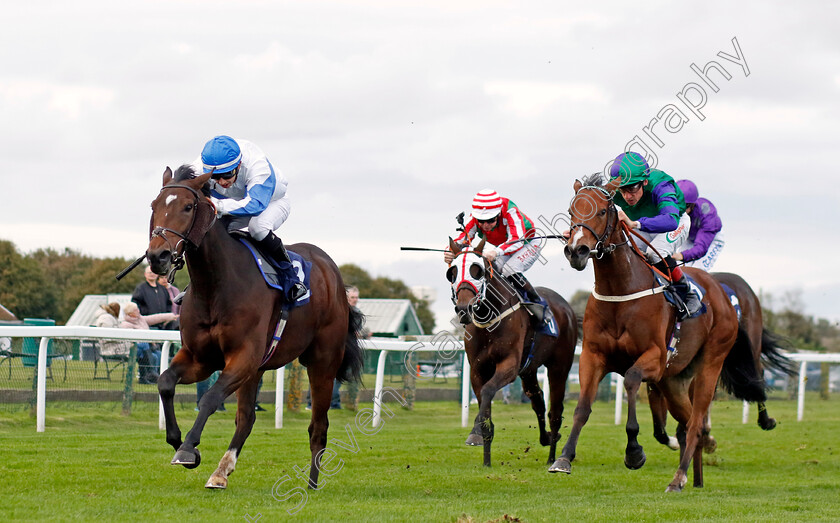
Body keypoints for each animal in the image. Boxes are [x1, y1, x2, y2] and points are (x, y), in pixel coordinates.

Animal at [148, 167, 364, 492]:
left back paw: (312, 484)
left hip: (323, 362)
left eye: (187, 207)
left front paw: (188, 449)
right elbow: (165, 382)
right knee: (247, 418)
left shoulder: (243, 356)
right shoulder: (201, 358)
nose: (157, 256)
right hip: (259, 368)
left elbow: (210, 398)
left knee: (319, 424)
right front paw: (179, 442)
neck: (215, 285)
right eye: (154, 206)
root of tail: (331, 271)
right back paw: (221, 471)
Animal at [446, 237, 576, 466]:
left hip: (559, 367)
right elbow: (483, 401)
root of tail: (567, 308)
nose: (463, 309)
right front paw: (484, 455)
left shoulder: (509, 365)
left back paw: (553, 458)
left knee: (555, 412)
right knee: (537, 399)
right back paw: (546, 438)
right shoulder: (477, 370)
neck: (489, 320)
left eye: (476, 270)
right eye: (452, 272)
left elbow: (488, 391)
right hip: (529, 369)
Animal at [556, 175, 764, 492]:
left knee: (696, 423)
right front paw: (564, 458)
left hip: (710, 364)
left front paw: (634, 452)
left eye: (603, 211)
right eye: (571, 211)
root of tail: (723, 294)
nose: (576, 250)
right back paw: (695, 477)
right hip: (674, 380)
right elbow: (582, 407)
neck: (621, 290)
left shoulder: (654, 357)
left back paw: (678, 479)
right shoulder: (592, 356)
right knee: (690, 424)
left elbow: (630, 380)